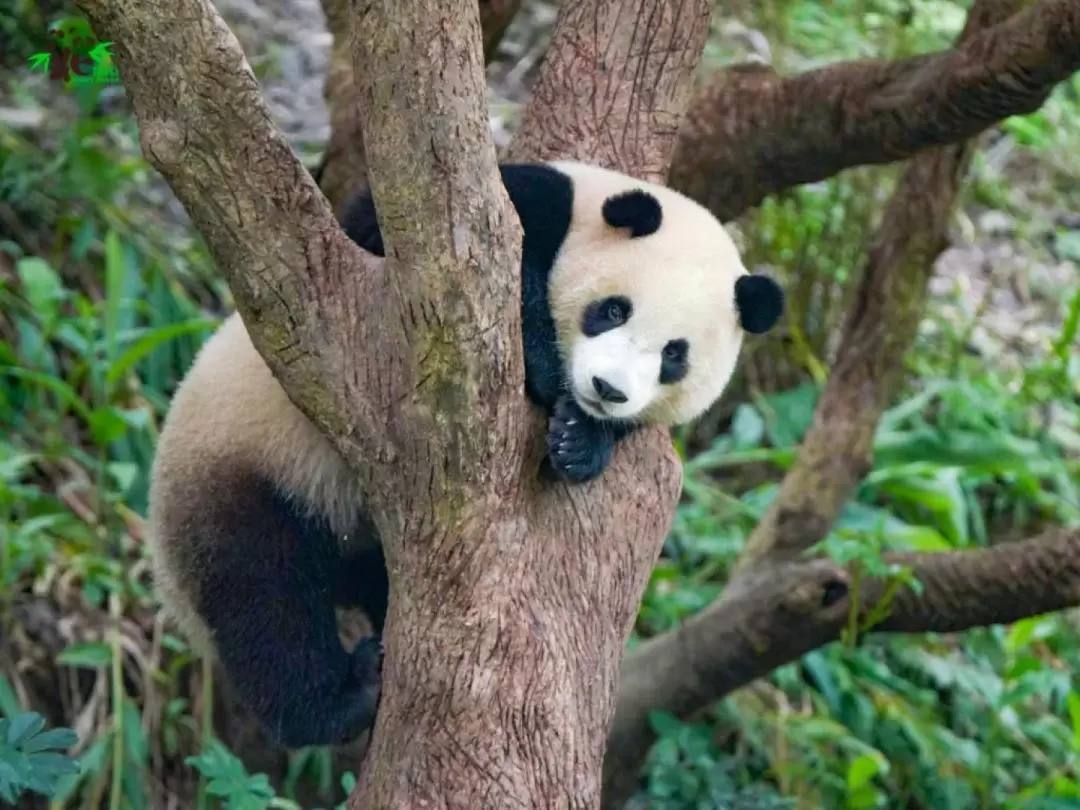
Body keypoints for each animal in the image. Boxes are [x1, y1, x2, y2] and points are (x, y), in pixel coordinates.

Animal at [145, 162, 786, 751]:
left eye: (674, 356)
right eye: (613, 310)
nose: (606, 388)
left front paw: (582, 441)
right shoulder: (511, 208)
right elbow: (403, 247)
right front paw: (546, 373)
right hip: (246, 472)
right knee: (264, 597)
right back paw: (342, 698)